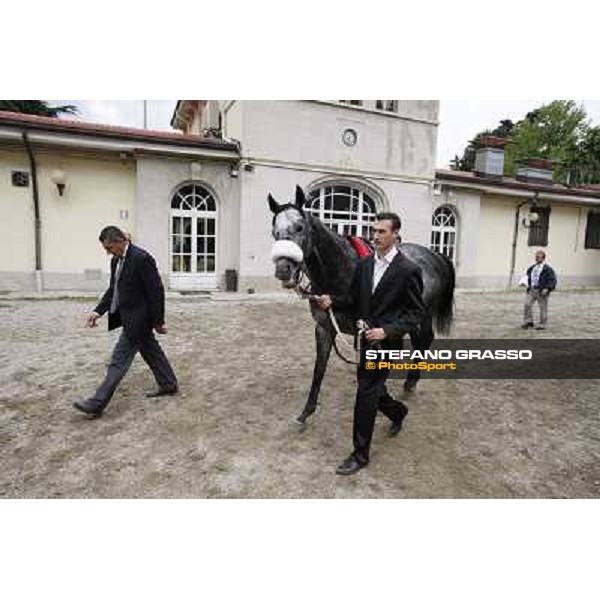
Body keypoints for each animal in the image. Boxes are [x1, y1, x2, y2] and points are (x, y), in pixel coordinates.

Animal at [268, 185, 454, 424]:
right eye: (274, 232)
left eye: (300, 227)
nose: (283, 269)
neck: (341, 271)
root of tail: (433, 254)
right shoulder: (324, 328)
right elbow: (319, 369)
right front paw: (307, 411)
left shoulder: (363, 330)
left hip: (422, 314)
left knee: (423, 340)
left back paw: (411, 381)